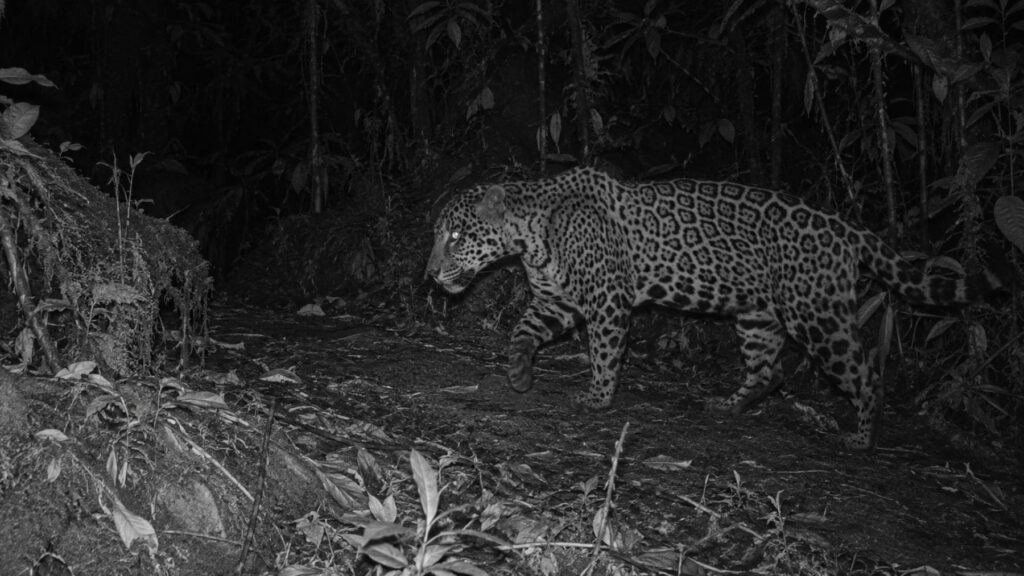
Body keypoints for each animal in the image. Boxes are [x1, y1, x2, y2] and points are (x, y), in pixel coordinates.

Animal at [426, 167, 996, 450]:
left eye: (454, 236)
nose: (429, 273)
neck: (530, 232)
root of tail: (848, 228)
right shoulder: (556, 300)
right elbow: (523, 330)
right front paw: (519, 374)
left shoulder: (606, 299)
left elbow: (606, 352)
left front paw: (598, 399)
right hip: (757, 315)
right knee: (769, 369)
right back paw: (730, 406)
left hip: (817, 314)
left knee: (864, 372)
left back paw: (860, 437)